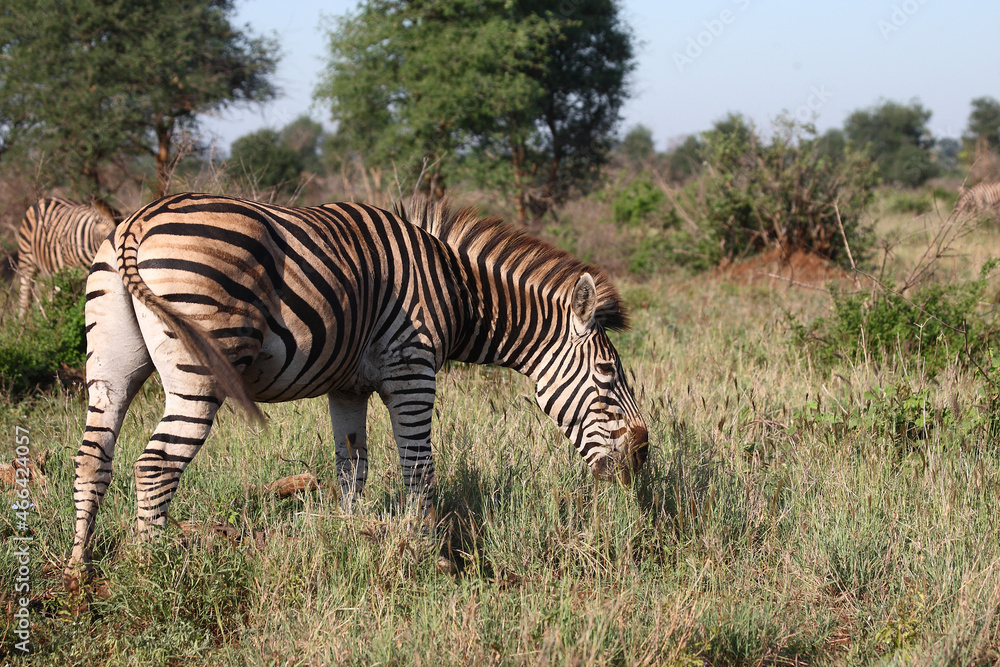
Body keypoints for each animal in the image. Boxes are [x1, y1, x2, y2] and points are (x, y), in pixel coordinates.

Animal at [65, 192, 649, 588]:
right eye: (607, 375)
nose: (642, 457)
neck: (457, 292)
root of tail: (136, 222)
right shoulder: (412, 369)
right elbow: (418, 467)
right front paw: (428, 556)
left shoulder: (347, 387)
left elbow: (352, 469)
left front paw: (349, 539)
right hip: (201, 366)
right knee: (155, 462)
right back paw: (152, 566)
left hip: (111, 362)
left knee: (94, 456)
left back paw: (78, 569)